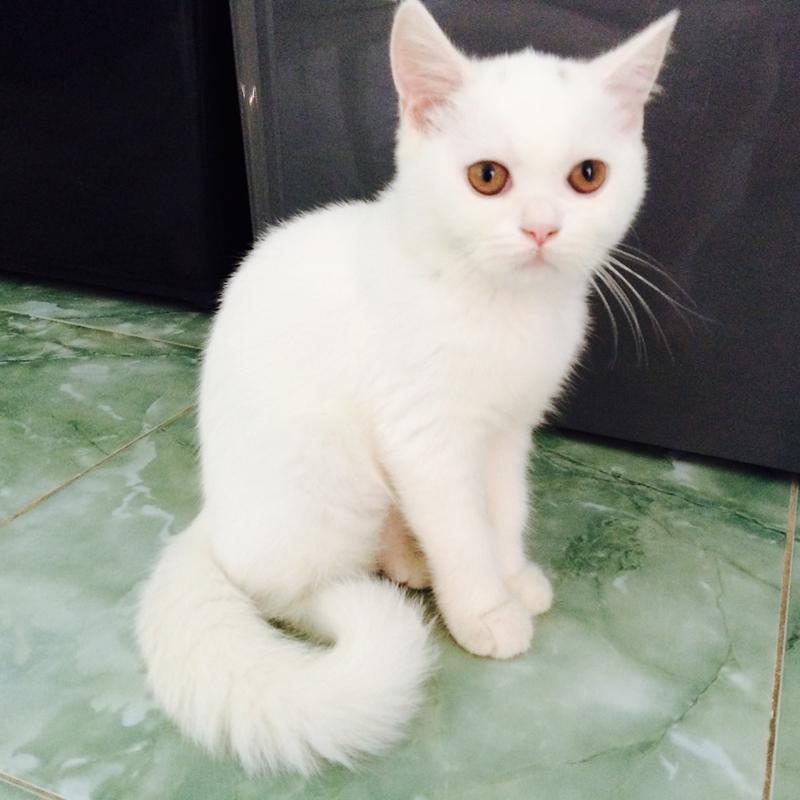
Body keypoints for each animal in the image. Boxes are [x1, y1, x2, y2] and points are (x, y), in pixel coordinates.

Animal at [136, 0, 678, 775]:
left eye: (587, 176)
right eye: (487, 176)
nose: (542, 229)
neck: (498, 306)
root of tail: (214, 519)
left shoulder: (507, 433)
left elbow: (503, 512)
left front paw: (511, 574)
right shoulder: (426, 439)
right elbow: (462, 531)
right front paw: (485, 609)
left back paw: (408, 559)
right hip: (332, 487)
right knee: (283, 589)